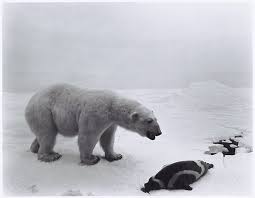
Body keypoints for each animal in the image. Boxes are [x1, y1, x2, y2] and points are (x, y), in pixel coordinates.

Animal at [25, 84, 161, 166]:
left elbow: (108, 138)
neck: (112, 106)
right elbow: (88, 136)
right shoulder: (95, 115)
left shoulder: (110, 122)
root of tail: (30, 101)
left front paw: (116, 155)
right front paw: (91, 159)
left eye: (156, 119)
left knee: (42, 134)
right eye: (149, 121)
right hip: (44, 112)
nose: (159, 132)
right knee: (48, 134)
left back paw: (35, 149)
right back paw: (50, 155)